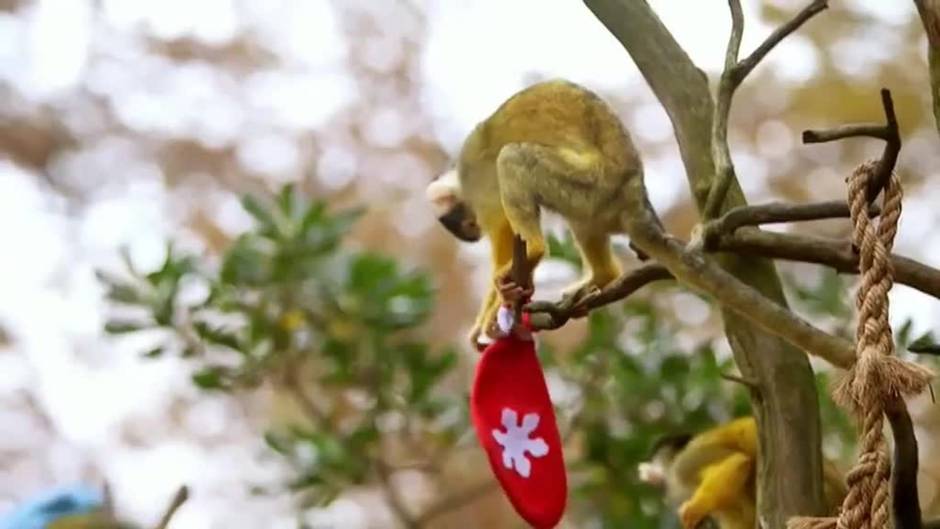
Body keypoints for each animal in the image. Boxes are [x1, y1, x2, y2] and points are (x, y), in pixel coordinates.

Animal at [426, 78, 648, 348]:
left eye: (470, 224)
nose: (475, 233)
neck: (460, 175)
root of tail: (634, 188)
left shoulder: (478, 182)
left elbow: (501, 227)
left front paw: (493, 313)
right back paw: (602, 276)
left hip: (594, 183)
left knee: (511, 158)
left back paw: (534, 249)